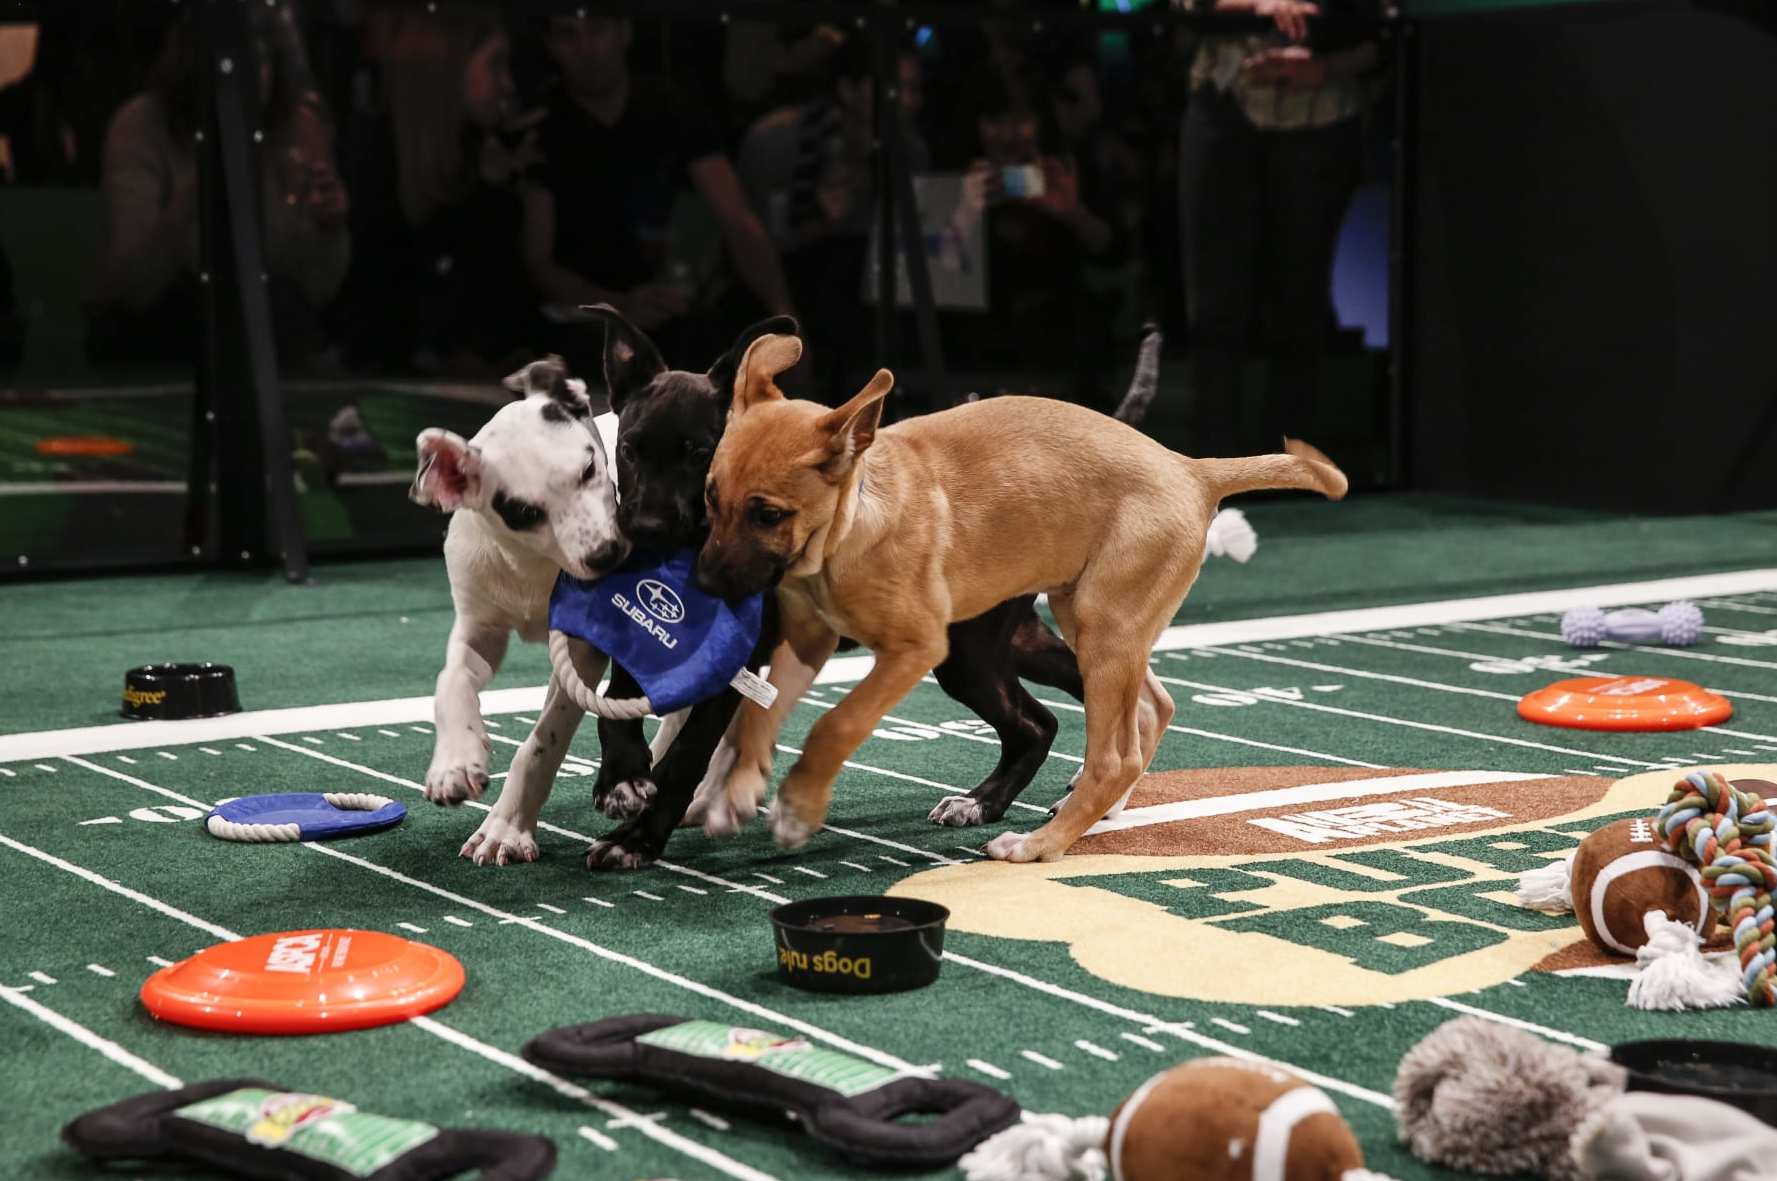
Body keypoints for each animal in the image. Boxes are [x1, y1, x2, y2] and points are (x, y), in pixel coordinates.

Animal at [412, 355, 636, 863]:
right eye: (523, 513)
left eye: (589, 468)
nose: (607, 556)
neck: (535, 568)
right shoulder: (479, 628)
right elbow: (450, 681)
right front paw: (454, 761)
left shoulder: (581, 649)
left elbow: (544, 739)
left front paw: (507, 827)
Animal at [693, 335, 1343, 863]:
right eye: (709, 496)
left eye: (768, 514)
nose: (703, 586)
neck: (854, 522)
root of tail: (1191, 469)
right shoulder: (805, 639)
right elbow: (755, 714)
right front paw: (736, 791)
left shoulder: (914, 648)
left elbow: (836, 723)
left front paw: (799, 808)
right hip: (1080, 621)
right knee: (1148, 710)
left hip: (1074, 635)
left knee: (1112, 753)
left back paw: (1038, 844)